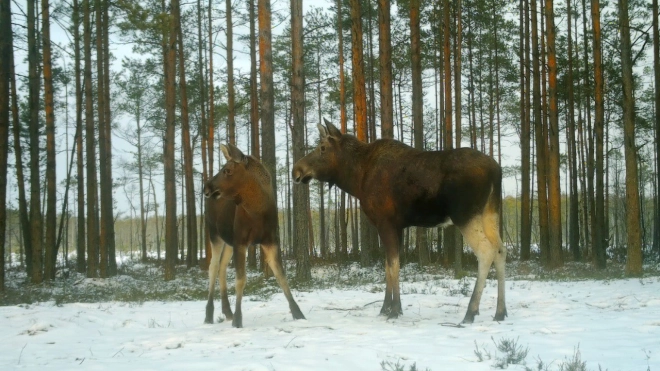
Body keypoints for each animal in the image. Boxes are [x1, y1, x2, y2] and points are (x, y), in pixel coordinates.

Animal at [204, 144, 304, 326]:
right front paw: (238, 320)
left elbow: (281, 275)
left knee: (222, 267)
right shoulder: (241, 241)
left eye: (227, 170)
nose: (206, 187)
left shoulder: (271, 240)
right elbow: (241, 280)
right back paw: (209, 315)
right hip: (215, 234)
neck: (257, 211)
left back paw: (227, 311)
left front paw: (298, 313)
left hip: (229, 241)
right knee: (212, 267)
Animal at [292, 119, 506, 322]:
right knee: (500, 249)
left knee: (486, 251)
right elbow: (389, 265)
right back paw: (500, 312)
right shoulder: (398, 226)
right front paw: (387, 308)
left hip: (465, 215)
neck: (356, 180)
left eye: (322, 147)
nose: (296, 170)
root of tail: (497, 171)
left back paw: (471, 312)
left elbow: (393, 265)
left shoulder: (385, 222)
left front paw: (394, 310)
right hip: (490, 212)